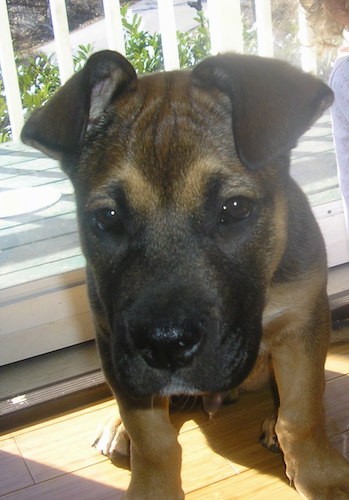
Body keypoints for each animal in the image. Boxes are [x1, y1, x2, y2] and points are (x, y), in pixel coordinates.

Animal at [21, 51, 348, 500]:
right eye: (107, 217)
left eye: (235, 208)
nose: (166, 346)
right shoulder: (113, 343)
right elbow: (153, 440)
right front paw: (151, 487)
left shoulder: (302, 325)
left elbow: (301, 413)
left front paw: (321, 476)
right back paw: (119, 427)